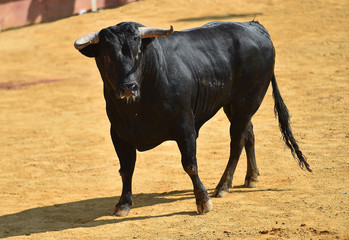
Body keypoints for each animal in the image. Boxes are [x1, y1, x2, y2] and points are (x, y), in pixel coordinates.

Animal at [74, 20, 310, 216]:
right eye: (106, 56)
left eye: (138, 52)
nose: (128, 88)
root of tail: (255, 27)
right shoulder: (119, 134)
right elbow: (126, 169)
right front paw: (123, 204)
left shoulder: (185, 127)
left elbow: (190, 164)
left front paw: (203, 201)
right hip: (233, 106)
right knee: (248, 133)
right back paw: (251, 177)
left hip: (247, 102)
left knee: (236, 142)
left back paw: (223, 186)